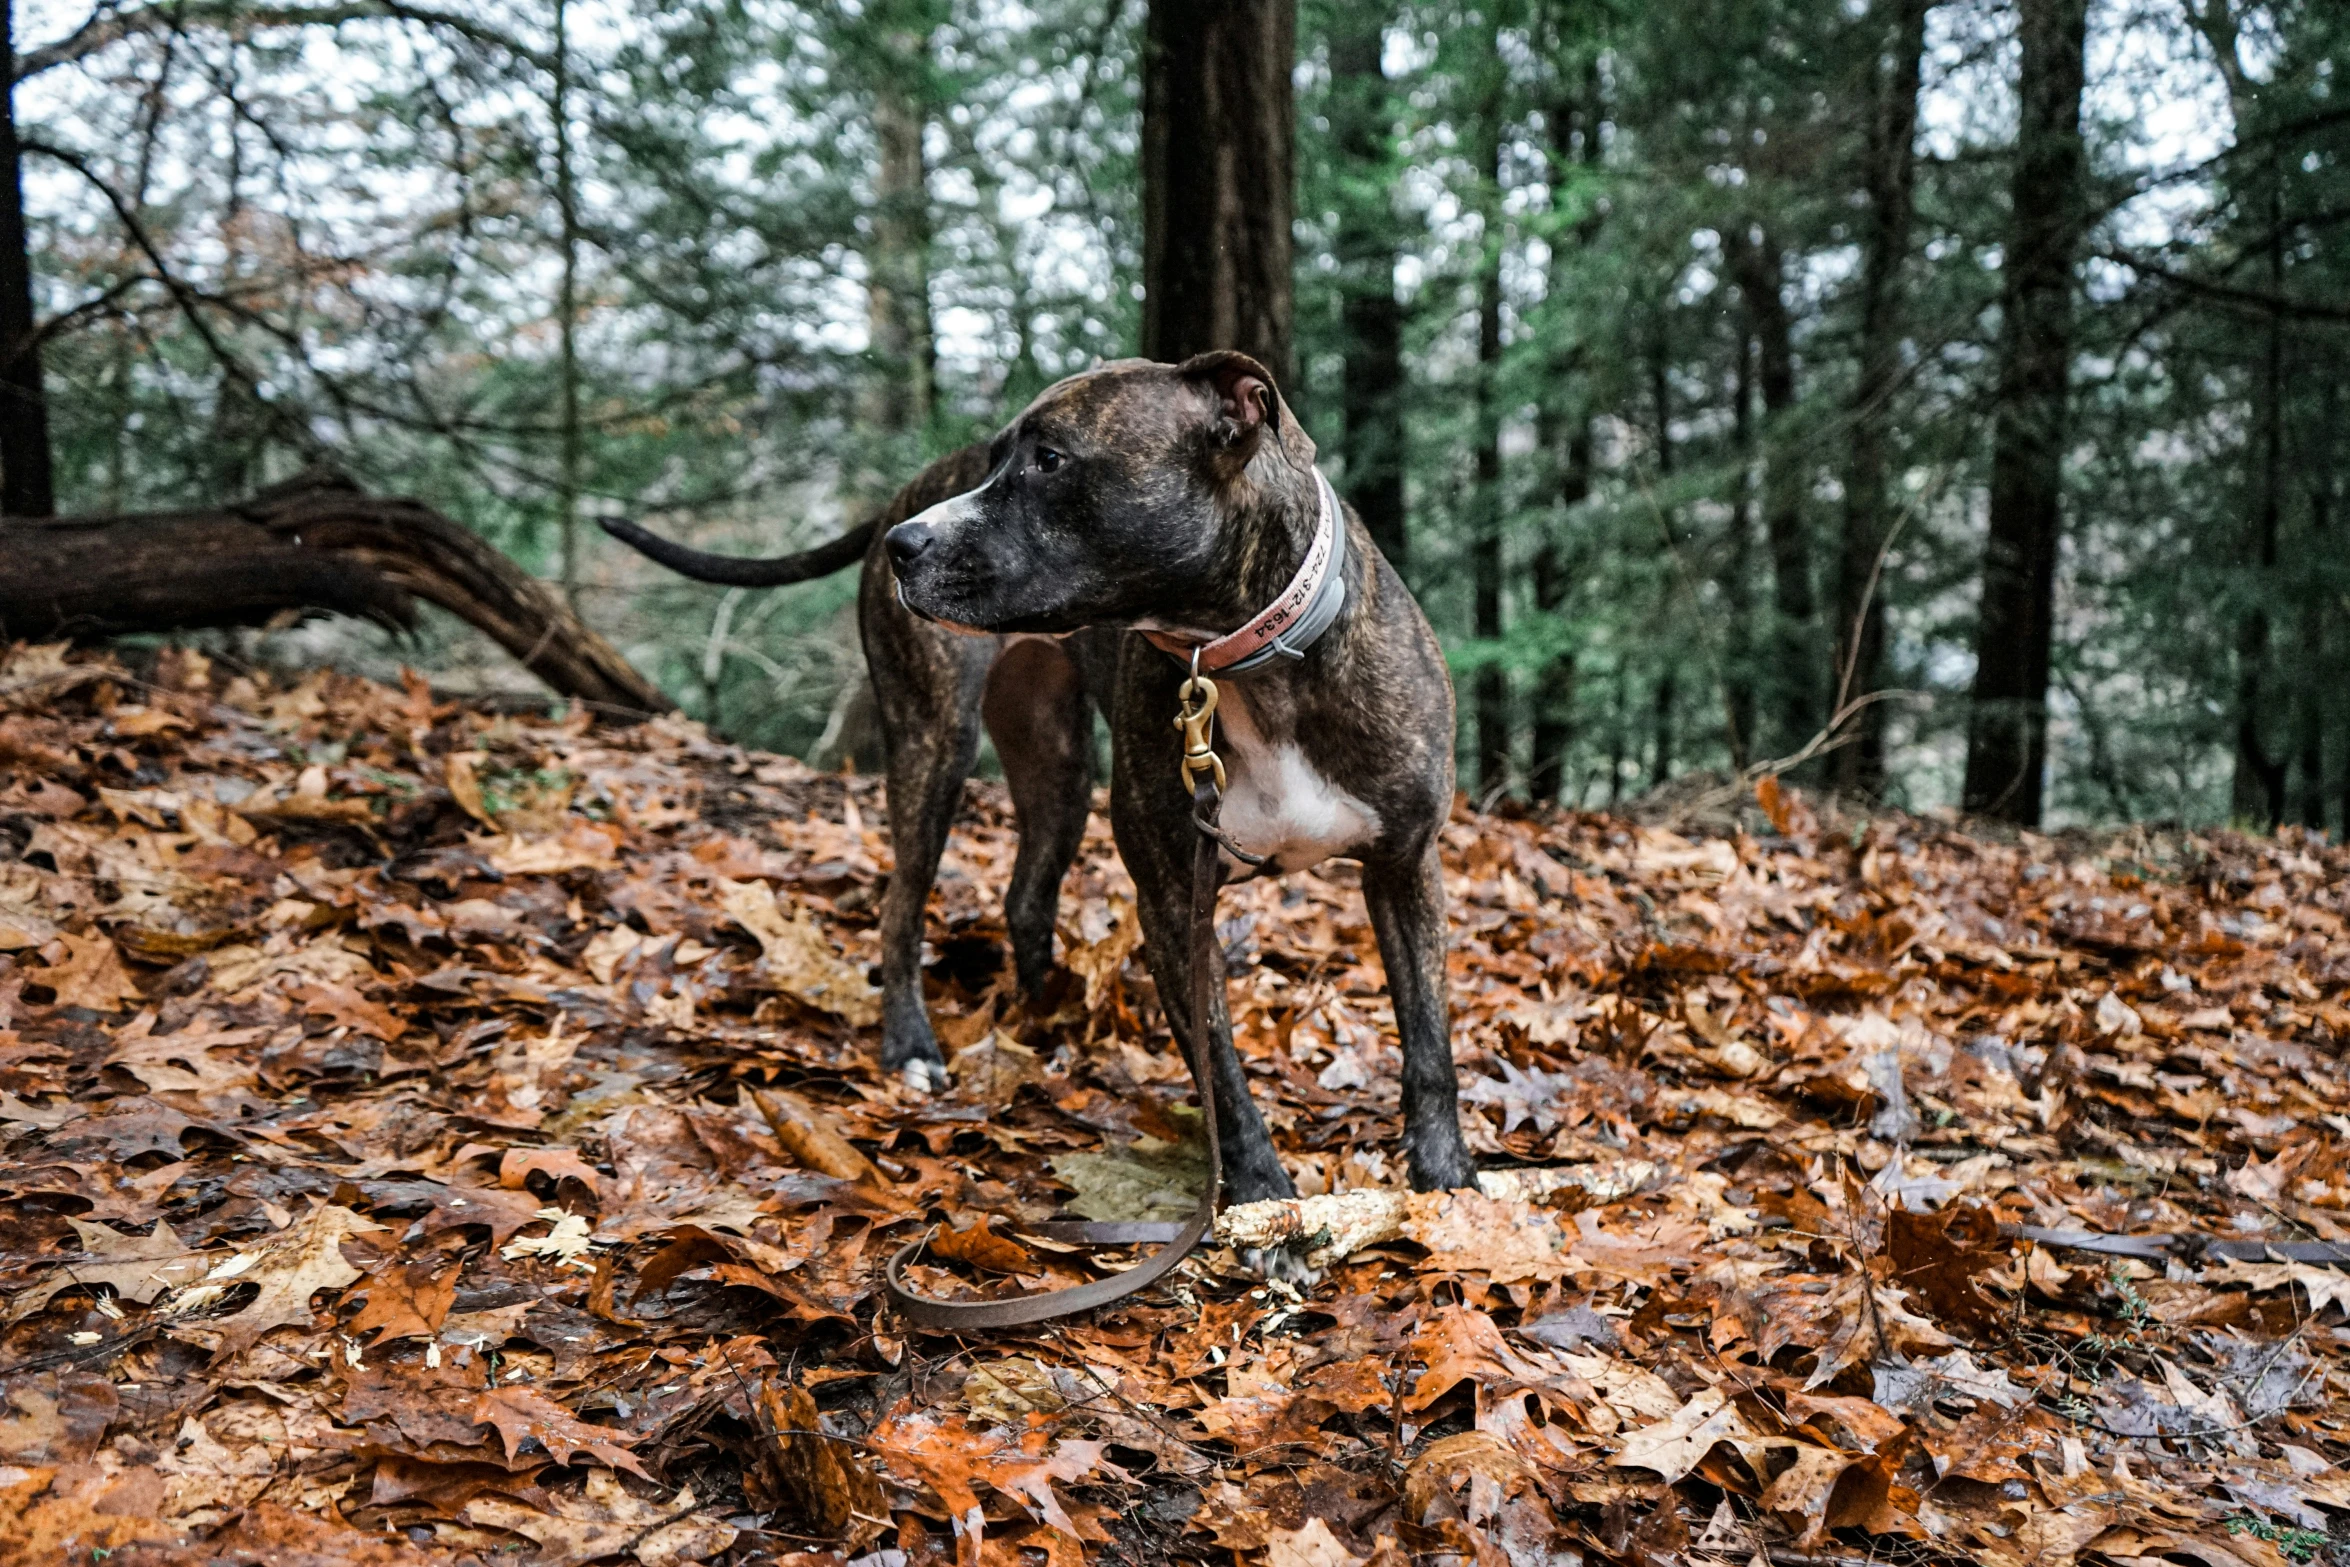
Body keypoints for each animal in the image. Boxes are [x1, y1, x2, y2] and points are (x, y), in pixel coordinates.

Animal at [606, 354, 1466, 1212]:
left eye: (1049, 459)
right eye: (996, 460)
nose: (904, 546)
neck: (1248, 655)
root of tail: (902, 493)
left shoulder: (1405, 866)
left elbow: (1429, 1042)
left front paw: (1447, 1177)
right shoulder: (1173, 900)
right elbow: (1220, 1068)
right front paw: (1261, 1198)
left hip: (1056, 765)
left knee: (1025, 894)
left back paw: (1044, 1019)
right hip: (934, 742)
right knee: (901, 907)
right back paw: (911, 1044)